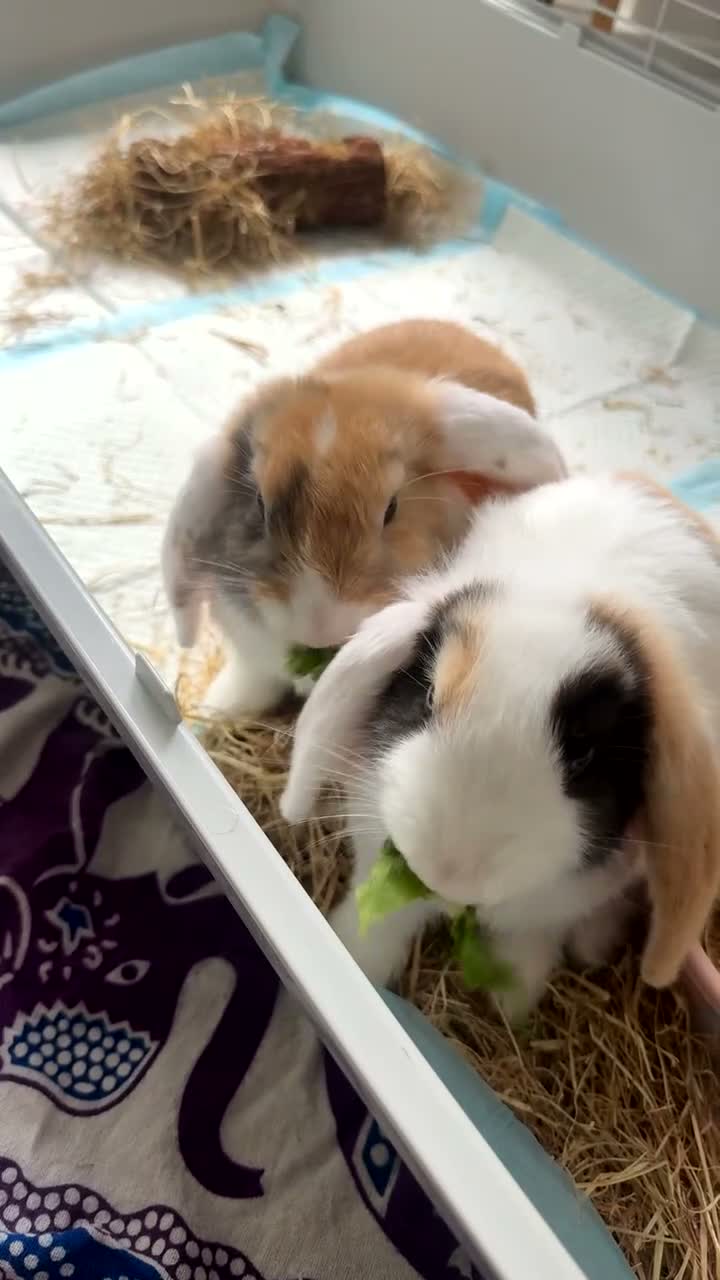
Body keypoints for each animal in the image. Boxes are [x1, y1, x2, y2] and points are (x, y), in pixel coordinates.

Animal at [280, 471, 720, 1018]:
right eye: (427, 695)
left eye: (583, 753)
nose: (449, 871)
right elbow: (380, 922)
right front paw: (355, 960)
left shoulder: (550, 912)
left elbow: (527, 944)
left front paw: (510, 1003)